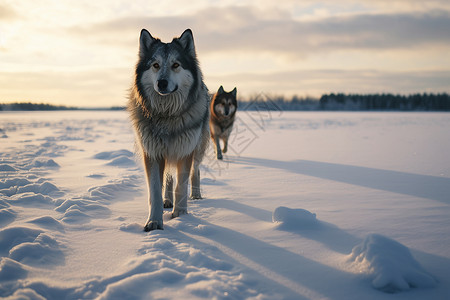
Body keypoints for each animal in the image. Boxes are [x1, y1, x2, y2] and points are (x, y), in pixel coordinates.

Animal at [127, 29, 210, 231]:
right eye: (155, 65)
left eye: (176, 65)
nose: (162, 83)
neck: (167, 116)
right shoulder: (153, 153)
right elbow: (156, 191)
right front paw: (154, 221)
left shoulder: (185, 151)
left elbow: (182, 185)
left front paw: (181, 216)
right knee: (169, 178)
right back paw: (167, 200)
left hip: (197, 148)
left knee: (195, 171)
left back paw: (196, 195)